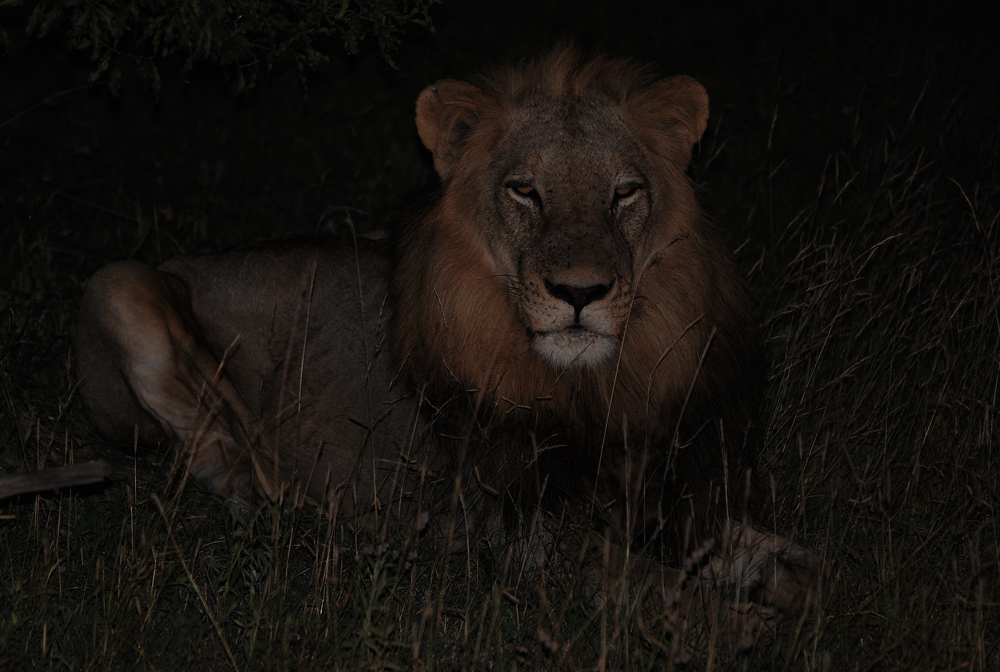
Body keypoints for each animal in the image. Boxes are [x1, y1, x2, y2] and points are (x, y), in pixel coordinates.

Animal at [78, 47, 824, 624]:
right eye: (525, 190)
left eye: (624, 192)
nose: (580, 294)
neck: (593, 385)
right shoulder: (527, 540)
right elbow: (666, 590)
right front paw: (744, 627)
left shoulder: (680, 500)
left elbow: (810, 568)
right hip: (118, 283)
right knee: (226, 461)